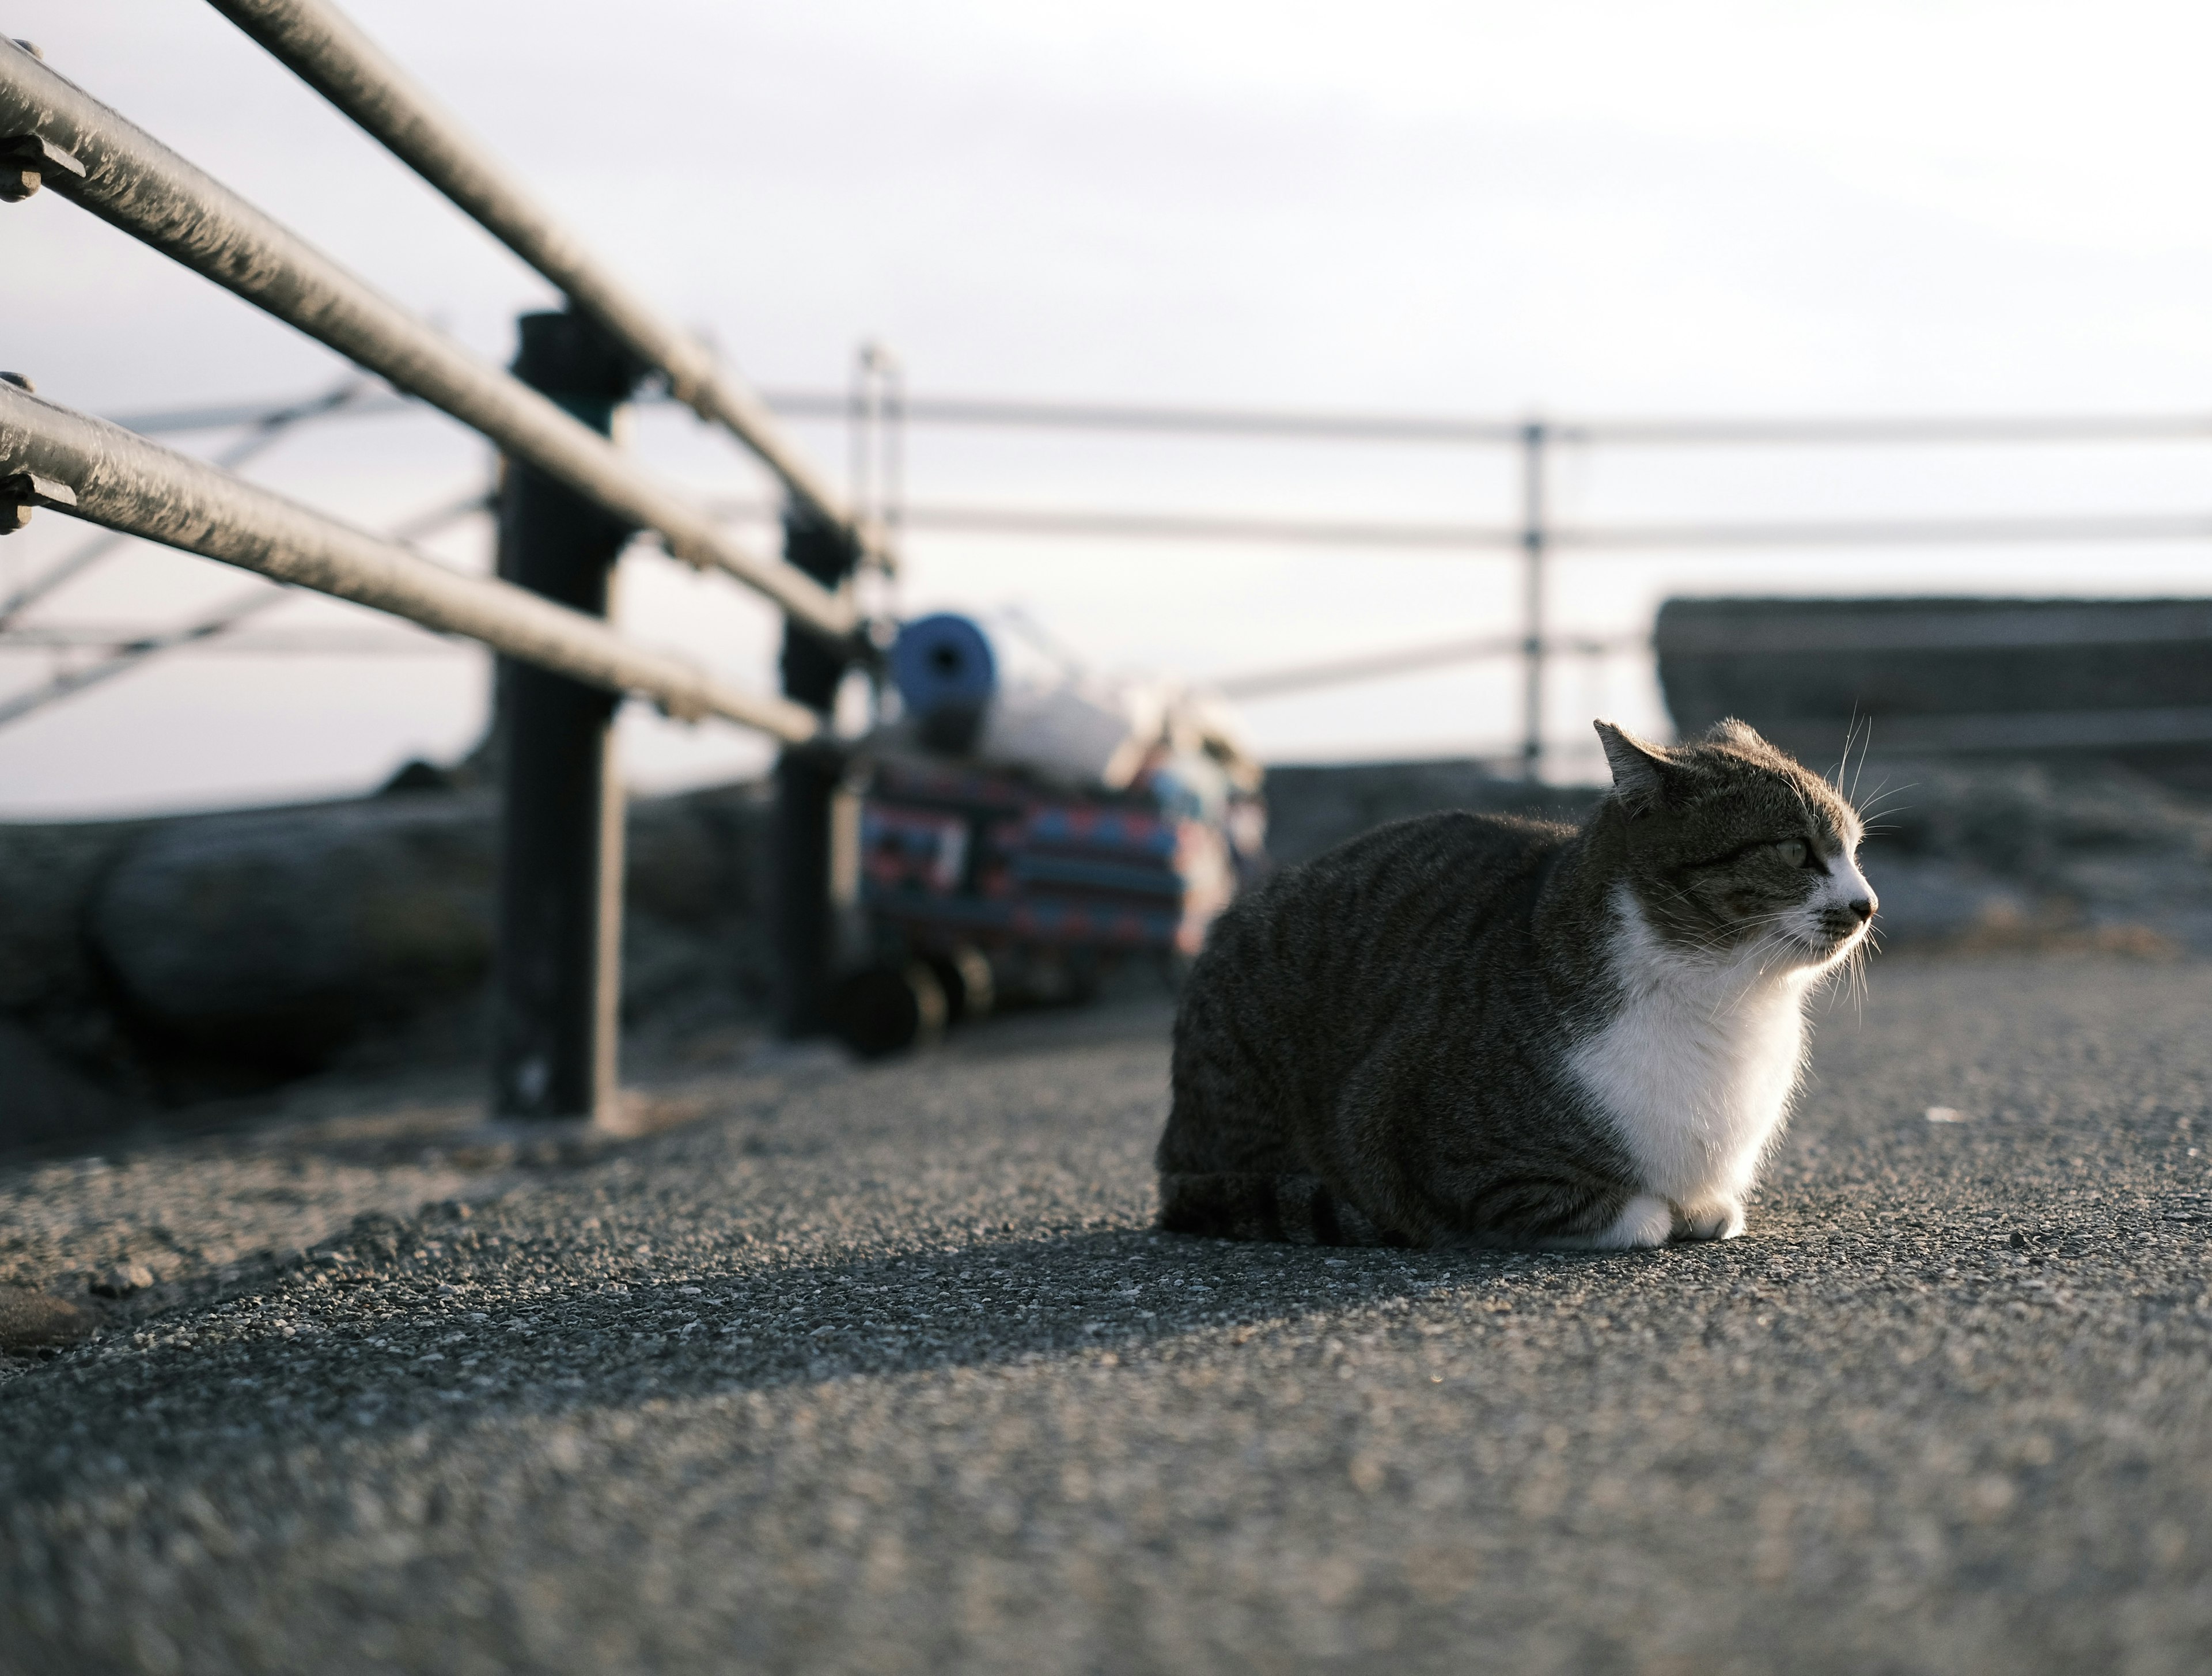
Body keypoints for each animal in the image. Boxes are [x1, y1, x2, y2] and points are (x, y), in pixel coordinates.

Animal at [1168, 716, 1876, 1256]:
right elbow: (1621, 1212)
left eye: (1855, 848)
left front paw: (1707, 1207)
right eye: (1796, 851)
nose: (1867, 904)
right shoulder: (1432, 1149)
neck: (1729, 995)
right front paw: (1660, 1213)